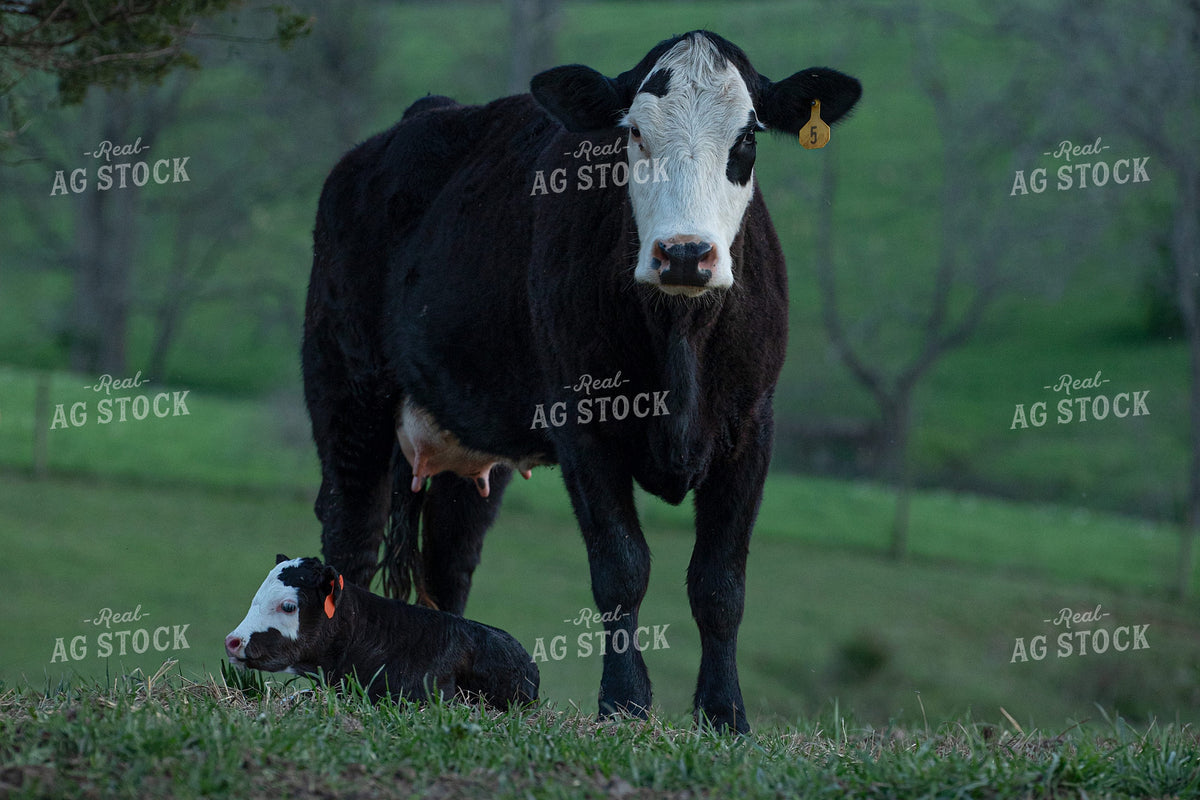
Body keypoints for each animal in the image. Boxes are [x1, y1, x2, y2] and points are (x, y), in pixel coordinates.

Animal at [302, 29, 861, 733]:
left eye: (747, 138)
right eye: (634, 135)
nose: (685, 254)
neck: (678, 337)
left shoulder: (751, 426)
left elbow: (720, 582)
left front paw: (724, 714)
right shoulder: (582, 422)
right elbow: (621, 567)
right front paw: (624, 701)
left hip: (469, 437)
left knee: (450, 555)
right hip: (347, 386)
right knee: (349, 530)